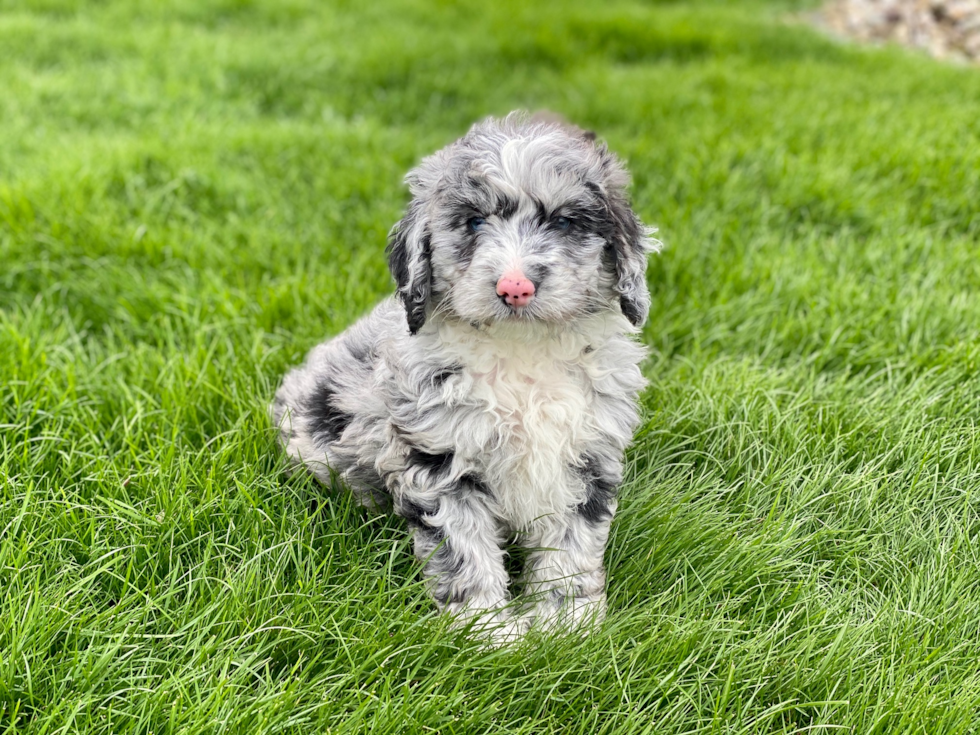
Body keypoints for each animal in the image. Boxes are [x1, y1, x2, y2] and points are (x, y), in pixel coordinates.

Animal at [274, 110, 660, 640]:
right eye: (474, 221)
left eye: (564, 221)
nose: (515, 286)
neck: (521, 350)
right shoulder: (439, 459)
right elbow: (465, 549)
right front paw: (487, 633)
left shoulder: (585, 456)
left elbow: (571, 546)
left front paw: (566, 628)